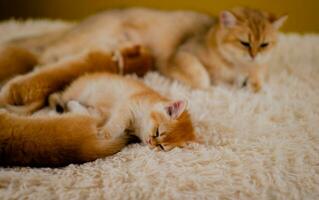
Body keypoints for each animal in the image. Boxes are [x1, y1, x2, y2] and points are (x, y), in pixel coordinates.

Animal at [0, 6, 288, 112]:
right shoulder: (181, 55)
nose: (254, 53)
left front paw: (252, 83)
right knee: (44, 55)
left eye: (264, 44)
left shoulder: (258, 67)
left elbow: (258, 78)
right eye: (244, 43)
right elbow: (201, 75)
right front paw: (210, 85)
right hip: (85, 42)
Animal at [50, 73, 196, 152]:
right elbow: (115, 124)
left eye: (161, 147)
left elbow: (94, 116)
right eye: (157, 132)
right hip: (80, 91)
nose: (151, 142)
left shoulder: (106, 113)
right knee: (55, 96)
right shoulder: (126, 107)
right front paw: (103, 134)